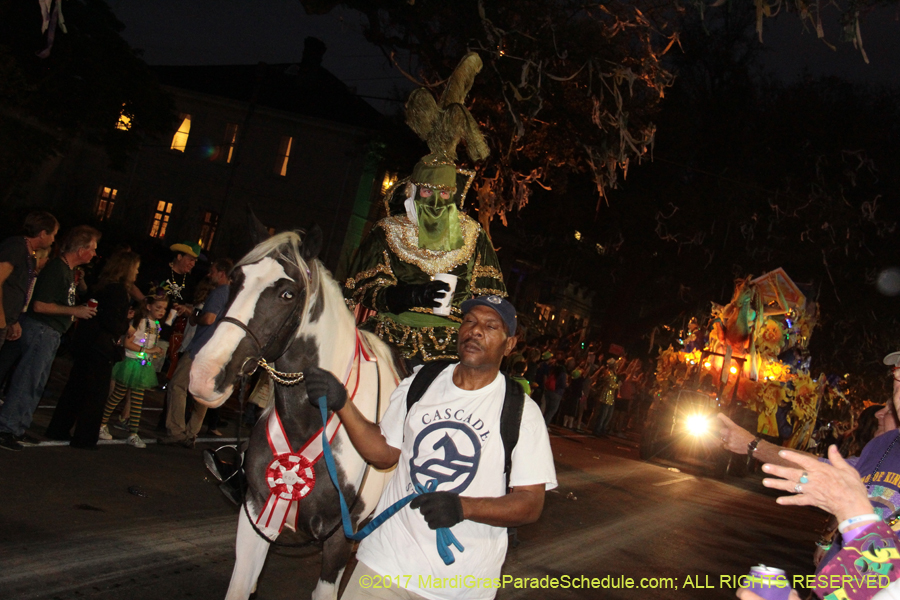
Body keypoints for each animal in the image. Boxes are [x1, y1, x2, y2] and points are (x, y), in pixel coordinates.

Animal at [189, 227, 400, 596]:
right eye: (236, 279)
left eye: (287, 293)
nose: (205, 375)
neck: (314, 420)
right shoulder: (257, 516)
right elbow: (241, 587)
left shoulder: (339, 542)